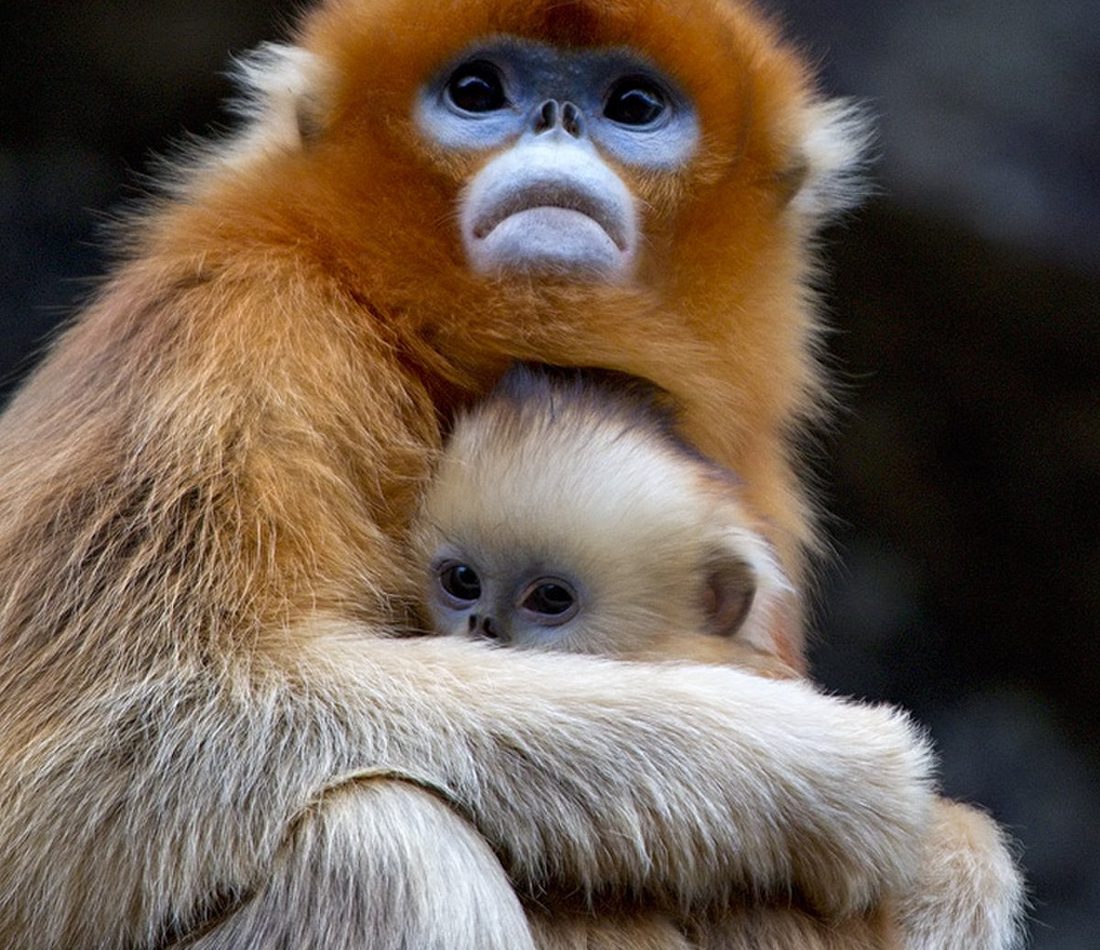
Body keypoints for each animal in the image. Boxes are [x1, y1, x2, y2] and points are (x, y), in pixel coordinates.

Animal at [0, 1, 948, 947]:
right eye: (477, 91)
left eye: (633, 106)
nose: (556, 120)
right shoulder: (236, 339)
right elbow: (113, 755)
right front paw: (823, 769)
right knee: (382, 839)